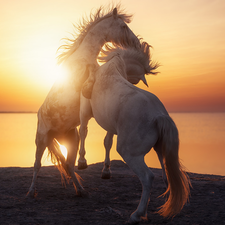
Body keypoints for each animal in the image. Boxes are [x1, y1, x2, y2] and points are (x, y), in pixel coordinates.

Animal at [26, 5, 141, 198]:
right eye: (123, 26)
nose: (137, 43)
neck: (84, 57)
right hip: (41, 139)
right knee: (37, 165)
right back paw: (31, 191)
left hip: (71, 140)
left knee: (68, 165)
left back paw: (80, 190)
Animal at [78, 41, 159, 179]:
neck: (116, 62)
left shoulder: (110, 121)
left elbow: (107, 142)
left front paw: (106, 170)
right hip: (84, 112)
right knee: (83, 131)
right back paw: (82, 161)